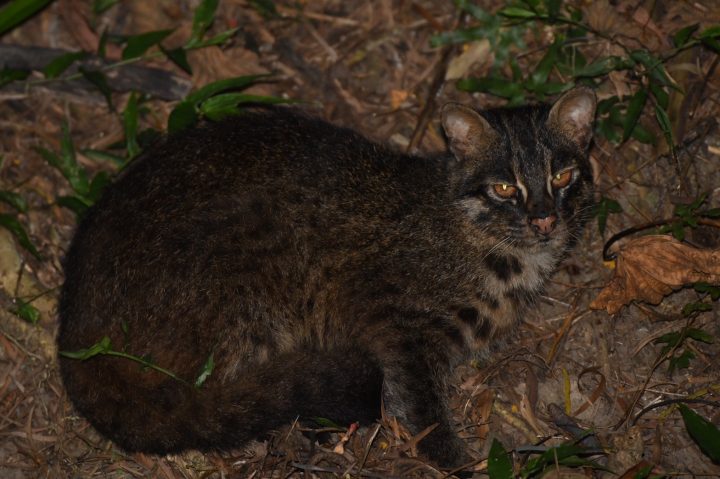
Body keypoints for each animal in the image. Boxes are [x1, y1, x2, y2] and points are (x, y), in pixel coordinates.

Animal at [57, 87, 596, 468]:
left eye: (563, 177)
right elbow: (422, 405)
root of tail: (74, 334)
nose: (545, 220)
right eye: (504, 188)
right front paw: (454, 460)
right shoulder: (391, 318)